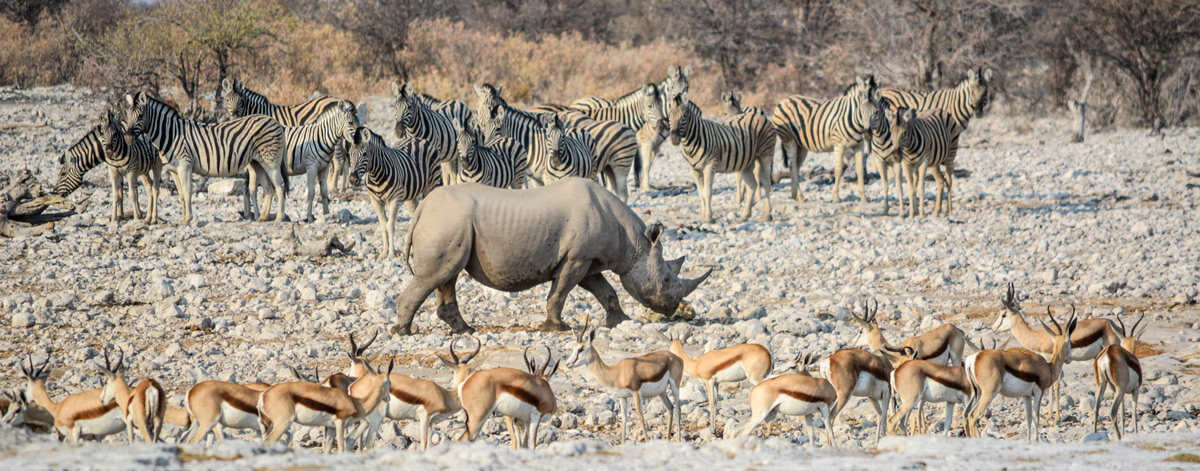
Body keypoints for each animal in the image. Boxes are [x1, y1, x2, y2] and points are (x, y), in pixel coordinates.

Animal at [123, 93, 288, 225]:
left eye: (140, 115)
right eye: (127, 115)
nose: (128, 138)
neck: (171, 134)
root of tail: (275, 122)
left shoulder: (185, 166)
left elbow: (188, 192)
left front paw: (188, 219)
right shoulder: (174, 170)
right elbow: (181, 195)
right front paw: (182, 219)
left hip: (271, 162)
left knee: (280, 187)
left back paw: (279, 218)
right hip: (257, 163)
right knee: (269, 188)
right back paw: (263, 218)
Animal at [350, 127, 444, 257]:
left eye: (364, 154)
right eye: (349, 154)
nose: (353, 179)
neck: (376, 176)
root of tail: (417, 138)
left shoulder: (395, 199)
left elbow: (390, 226)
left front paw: (391, 254)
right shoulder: (376, 201)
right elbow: (383, 226)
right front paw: (384, 252)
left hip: (433, 182)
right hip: (412, 194)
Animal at [667, 94, 777, 224]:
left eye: (684, 116)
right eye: (669, 116)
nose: (674, 138)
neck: (691, 141)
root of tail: (761, 116)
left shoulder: (709, 165)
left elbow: (707, 192)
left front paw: (708, 217)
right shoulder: (694, 169)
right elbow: (701, 193)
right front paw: (703, 216)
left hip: (765, 154)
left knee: (766, 183)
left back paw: (767, 215)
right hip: (747, 162)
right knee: (752, 186)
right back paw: (745, 216)